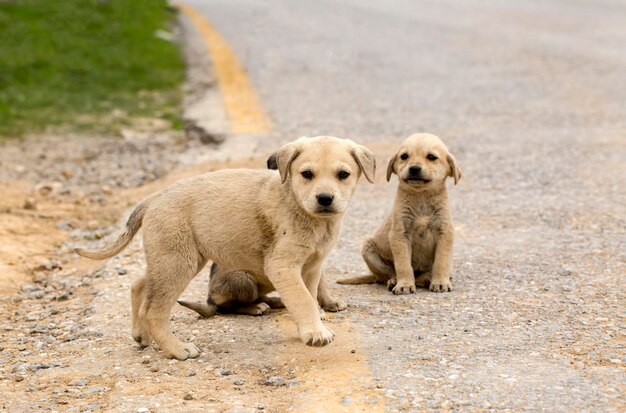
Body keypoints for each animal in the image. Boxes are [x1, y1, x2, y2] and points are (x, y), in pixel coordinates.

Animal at [75, 137, 372, 358]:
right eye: (306, 174)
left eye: (343, 175)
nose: (325, 199)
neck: (298, 206)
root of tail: (154, 198)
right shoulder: (284, 266)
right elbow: (303, 299)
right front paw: (315, 331)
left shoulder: (312, 266)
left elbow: (309, 295)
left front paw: (312, 324)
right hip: (180, 262)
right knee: (155, 310)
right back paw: (176, 349)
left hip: (174, 258)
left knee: (139, 284)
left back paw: (141, 335)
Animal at [338, 133, 460, 292]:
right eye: (404, 156)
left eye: (431, 157)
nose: (414, 168)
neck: (421, 197)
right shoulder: (399, 234)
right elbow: (403, 265)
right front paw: (405, 284)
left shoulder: (445, 232)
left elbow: (441, 261)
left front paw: (440, 282)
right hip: (368, 250)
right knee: (389, 274)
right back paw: (395, 281)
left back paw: (428, 278)